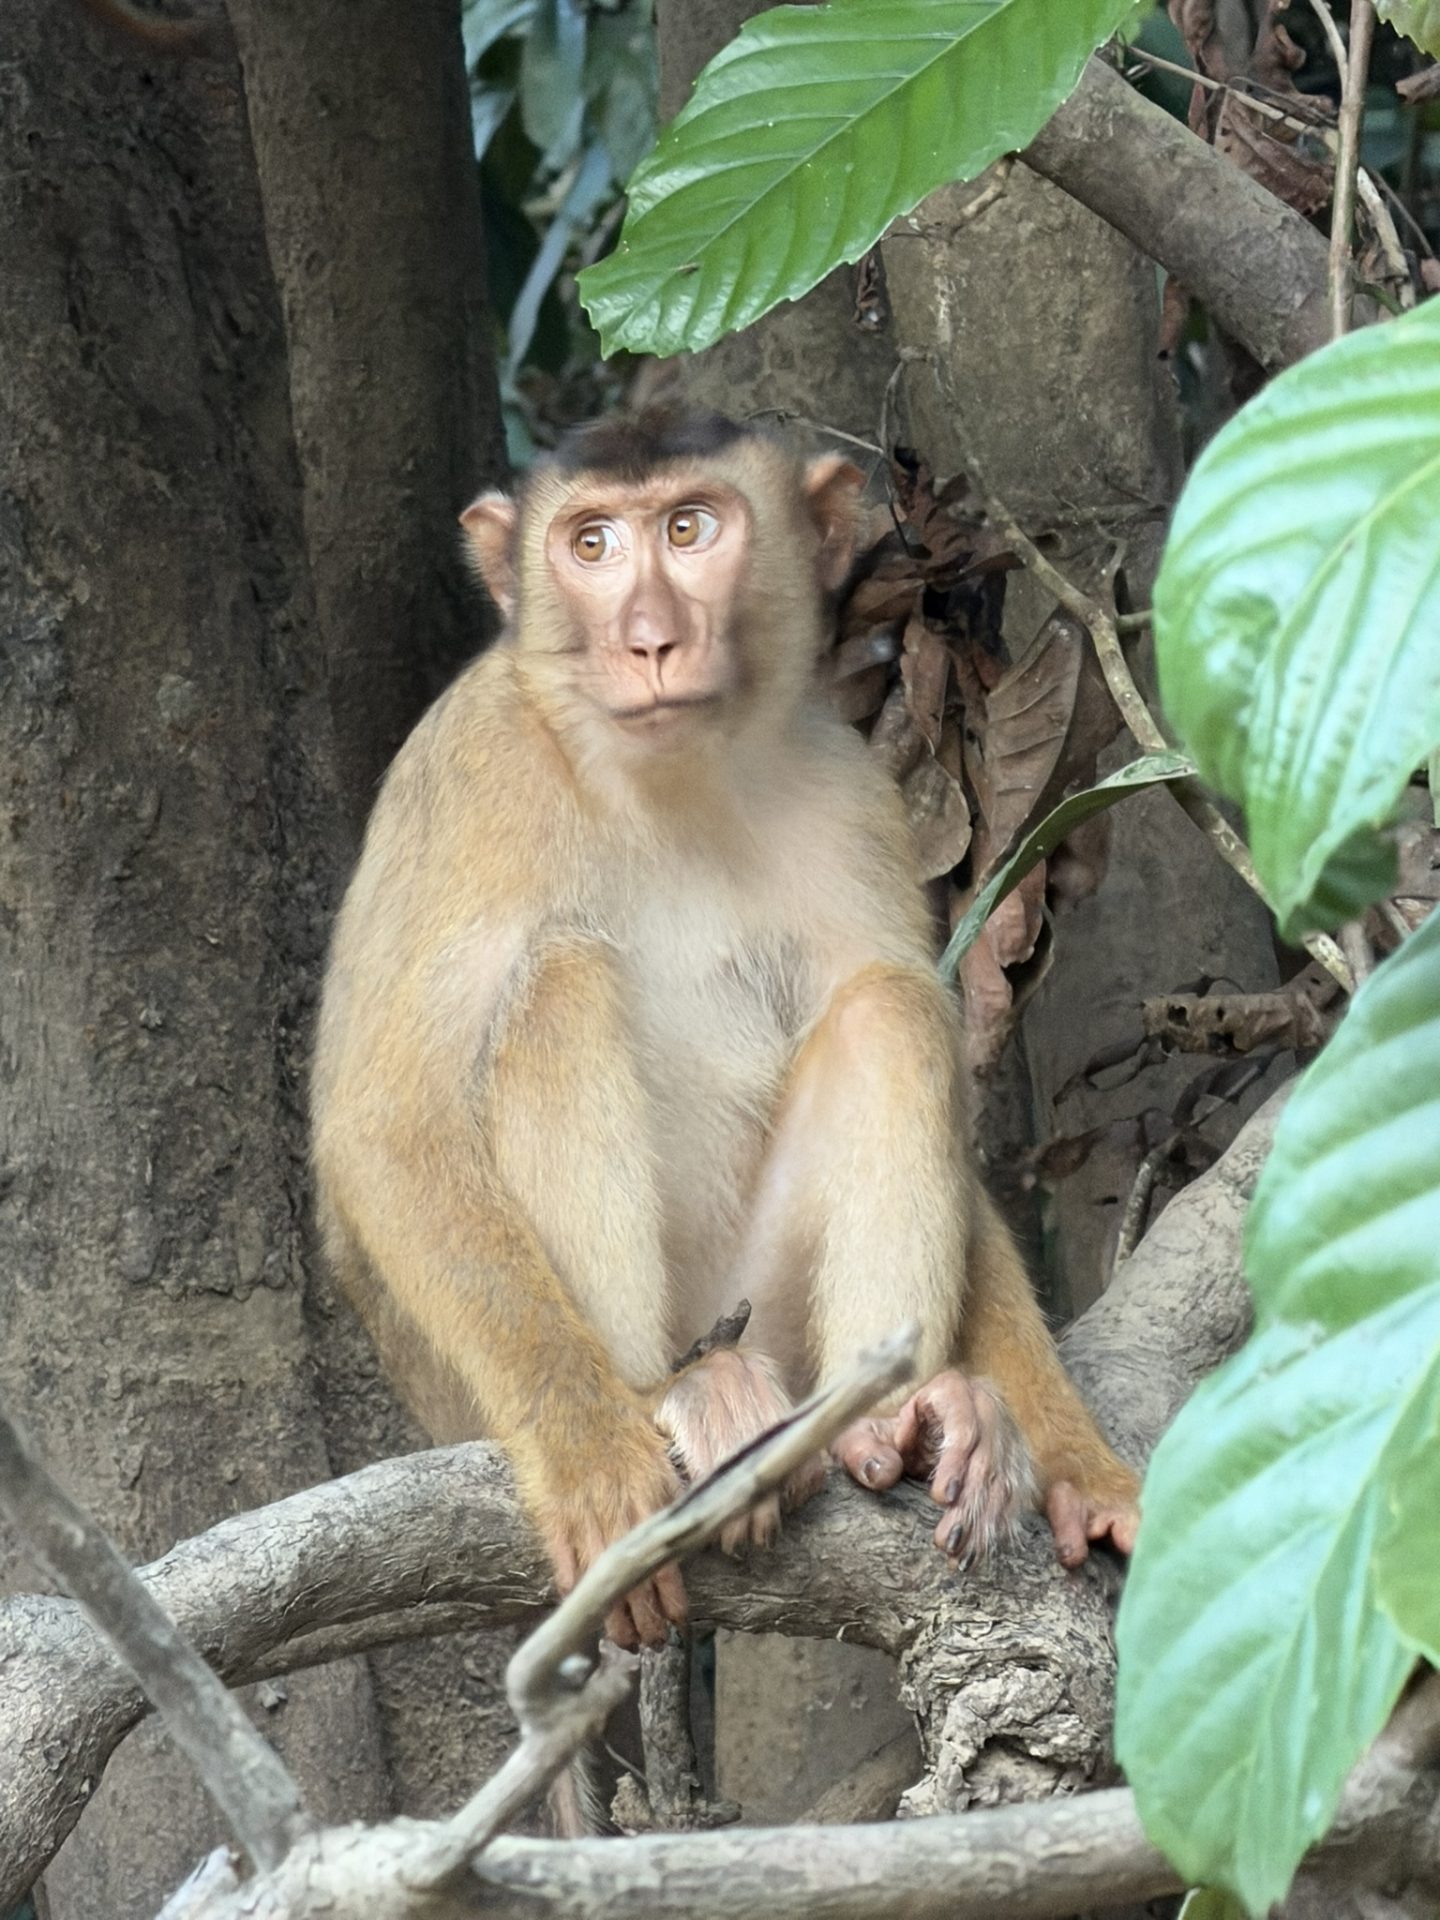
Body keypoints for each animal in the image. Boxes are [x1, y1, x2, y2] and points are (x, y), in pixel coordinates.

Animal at [312, 408, 1140, 1650]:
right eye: (591, 544)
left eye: (691, 529)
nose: (649, 639)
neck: (672, 776)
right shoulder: (473, 770)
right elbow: (387, 1124)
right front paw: (593, 1454)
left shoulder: (856, 793)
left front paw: (1080, 1462)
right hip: (471, 1395)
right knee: (558, 982)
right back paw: (675, 1394)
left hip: (772, 1313)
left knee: (890, 1011)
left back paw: (900, 1421)